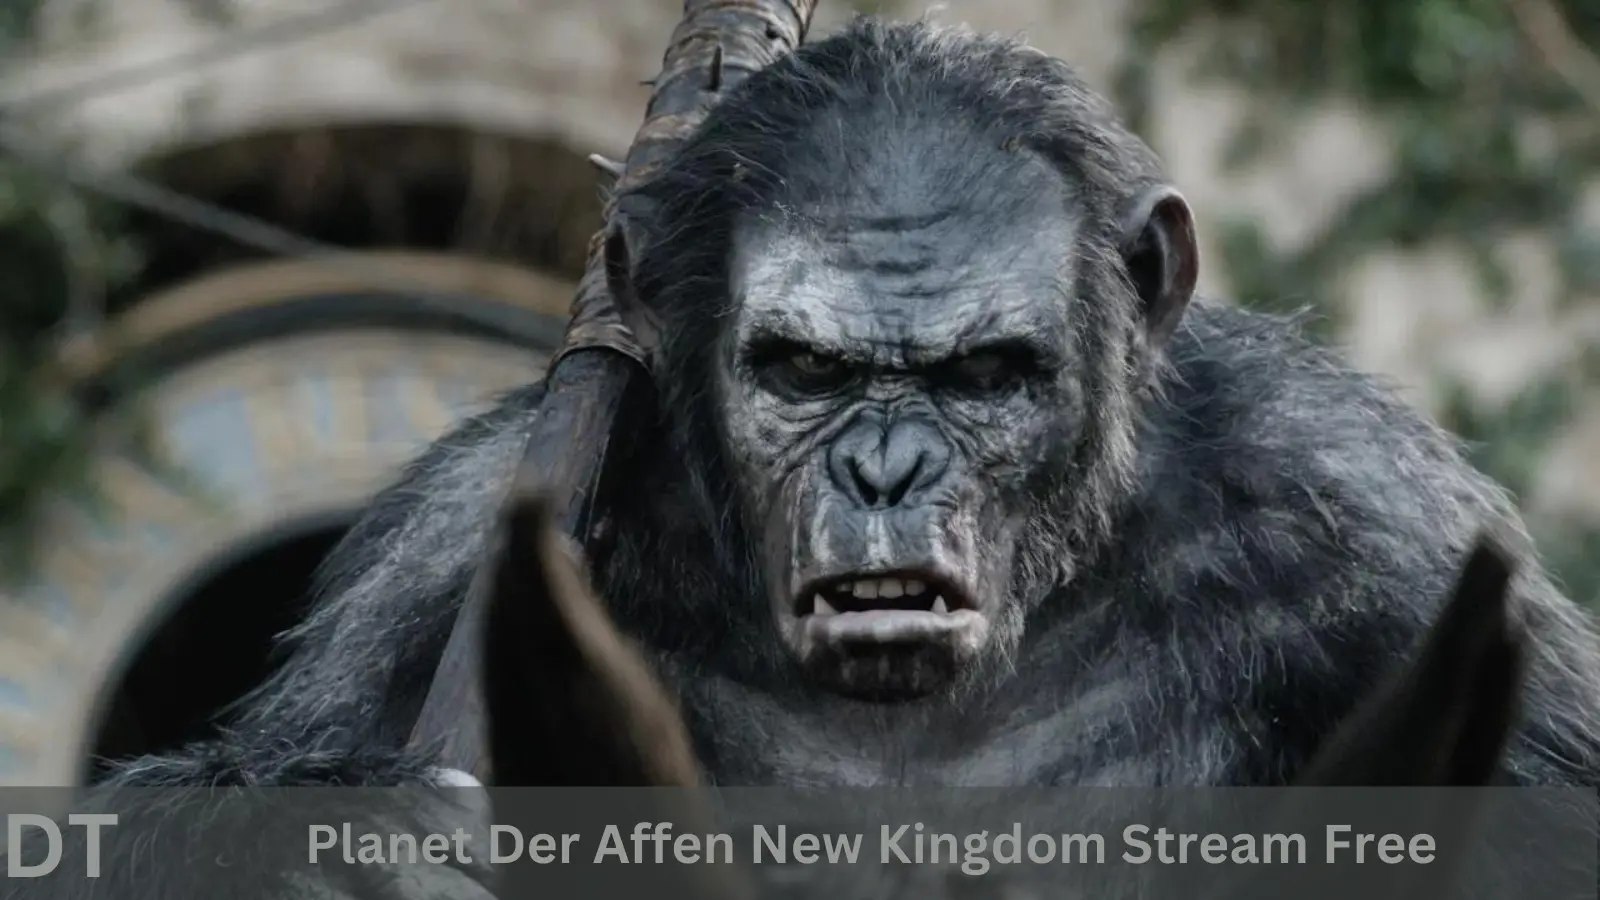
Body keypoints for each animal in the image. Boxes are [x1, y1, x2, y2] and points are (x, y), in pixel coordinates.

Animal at [24, 13, 1600, 900]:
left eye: (982, 375)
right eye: (808, 371)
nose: (888, 470)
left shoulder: (1380, 528)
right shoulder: (433, 559)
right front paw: (331, 848)